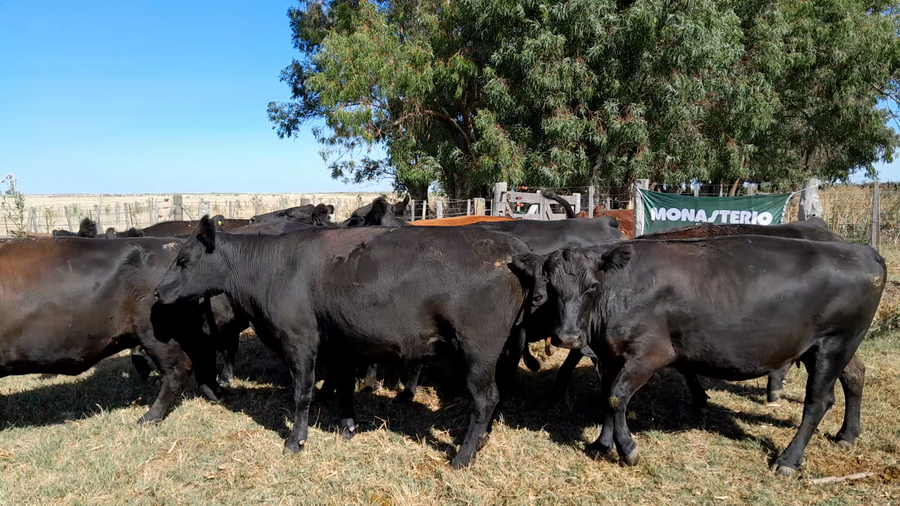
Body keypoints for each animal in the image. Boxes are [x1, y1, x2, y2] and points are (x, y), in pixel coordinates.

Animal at [154, 217, 535, 468]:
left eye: (184, 261)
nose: (157, 291)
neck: (272, 268)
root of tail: (510, 247)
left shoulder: (300, 341)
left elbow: (303, 393)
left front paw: (295, 440)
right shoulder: (341, 341)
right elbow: (345, 386)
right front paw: (347, 426)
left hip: (477, 351)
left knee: (485, 399)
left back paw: (463, 457)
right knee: (496, 396)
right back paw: (481, 440)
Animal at [512, 237, 884, 474]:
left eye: (591, 286)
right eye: (549, 290)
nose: (568, 337)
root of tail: (862, 250)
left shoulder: (650, 354)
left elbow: (617, 397)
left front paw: (628, 450)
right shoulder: (611, 355)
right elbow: (608, 396)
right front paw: (601, 445)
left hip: (834, 343)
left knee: (817, 402)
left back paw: (788, 461)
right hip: (824, 348)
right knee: (855, 375)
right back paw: (847, 436)